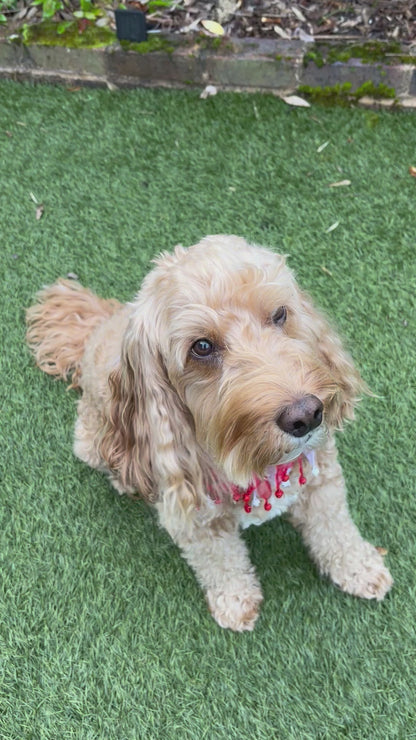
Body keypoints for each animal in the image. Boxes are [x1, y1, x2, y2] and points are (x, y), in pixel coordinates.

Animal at [26, 236, 394, 632]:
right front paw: (236, 602)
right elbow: (222, 564)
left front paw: (359, 567)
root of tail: (102, 322)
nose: (306, 416)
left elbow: (335, 529)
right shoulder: (196, 523)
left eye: (280, 314)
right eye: (201, 346)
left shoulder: (321, 477)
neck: (253, 459)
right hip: (90, 440)